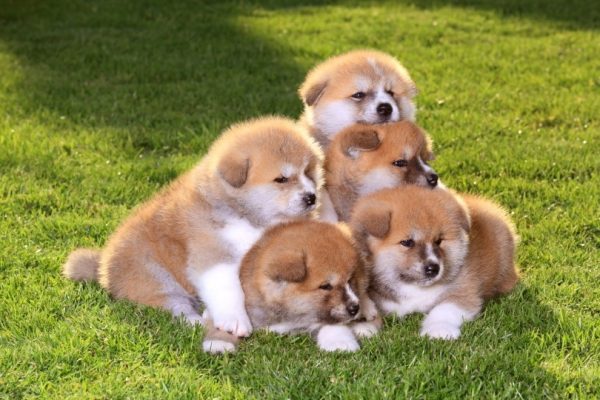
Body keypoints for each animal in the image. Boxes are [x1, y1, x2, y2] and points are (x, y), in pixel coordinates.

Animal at [62, 115, 324, 338]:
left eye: (308, 172)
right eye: (281, 179)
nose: (311, 197)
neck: (246, 217)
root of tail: (102, 268)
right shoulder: (215, 256)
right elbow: (230, 291)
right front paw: (236, 321)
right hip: (154, 277)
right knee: (174, 307)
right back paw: (196, 321)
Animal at [202, 220, 380, 354]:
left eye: (350, 280)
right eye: (326, 286)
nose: (354, 308)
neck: (290, 316)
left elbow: (333, 323)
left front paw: (339, 343)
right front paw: (219, 343)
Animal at [354, 188, 516, 340]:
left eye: (439, 241)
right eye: (407, 242)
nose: (433, 268)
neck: (413, 288)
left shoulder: (463, 289)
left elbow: (443, 310)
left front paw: (439, 330)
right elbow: (372, 309)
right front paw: (363, 327)